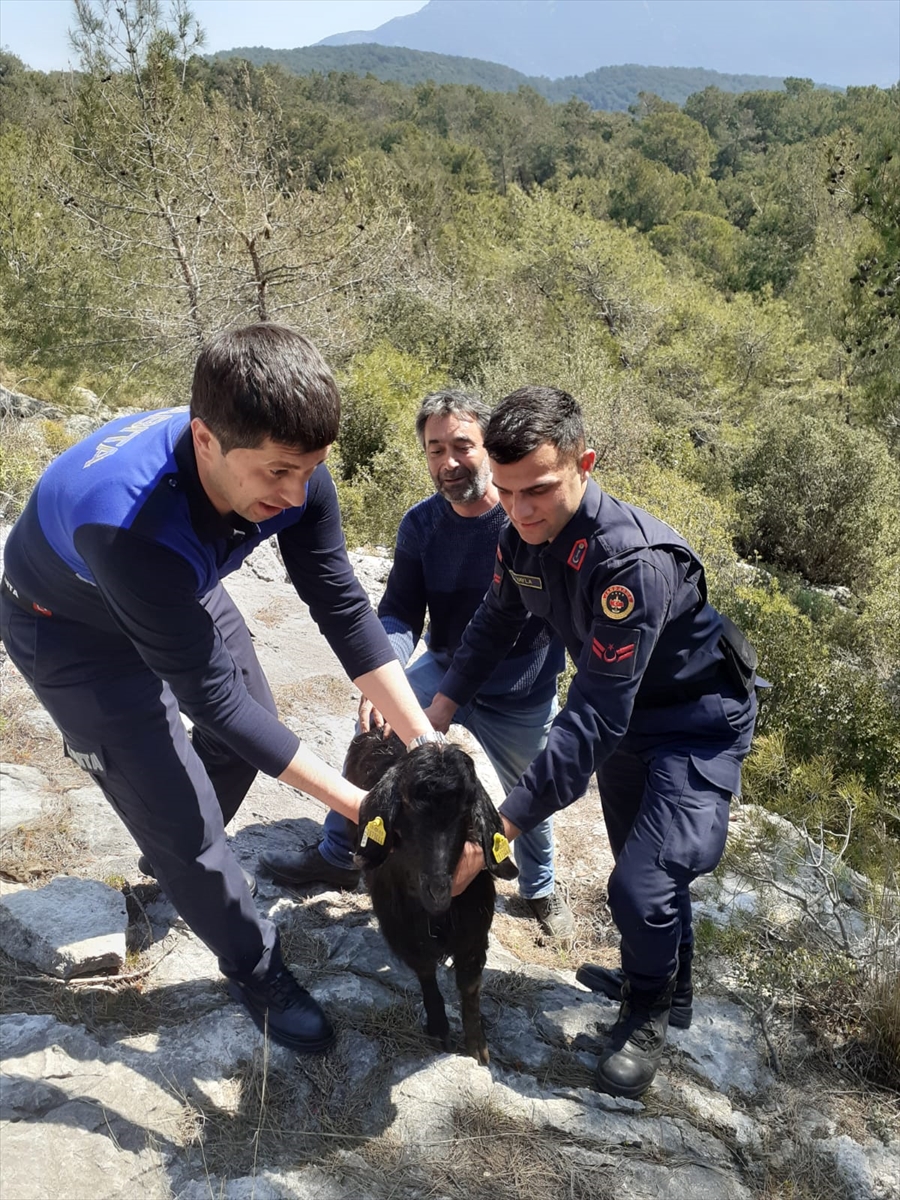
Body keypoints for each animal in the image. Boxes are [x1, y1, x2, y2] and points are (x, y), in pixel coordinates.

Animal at [345, 724, 518, 1065]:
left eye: (466, 811)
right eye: (406, 806)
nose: (438, 889)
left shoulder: (474, 932)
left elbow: (469, 986)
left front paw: (477, 1046)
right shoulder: (403, 929)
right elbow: (425, 971)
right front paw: (439, 1027)